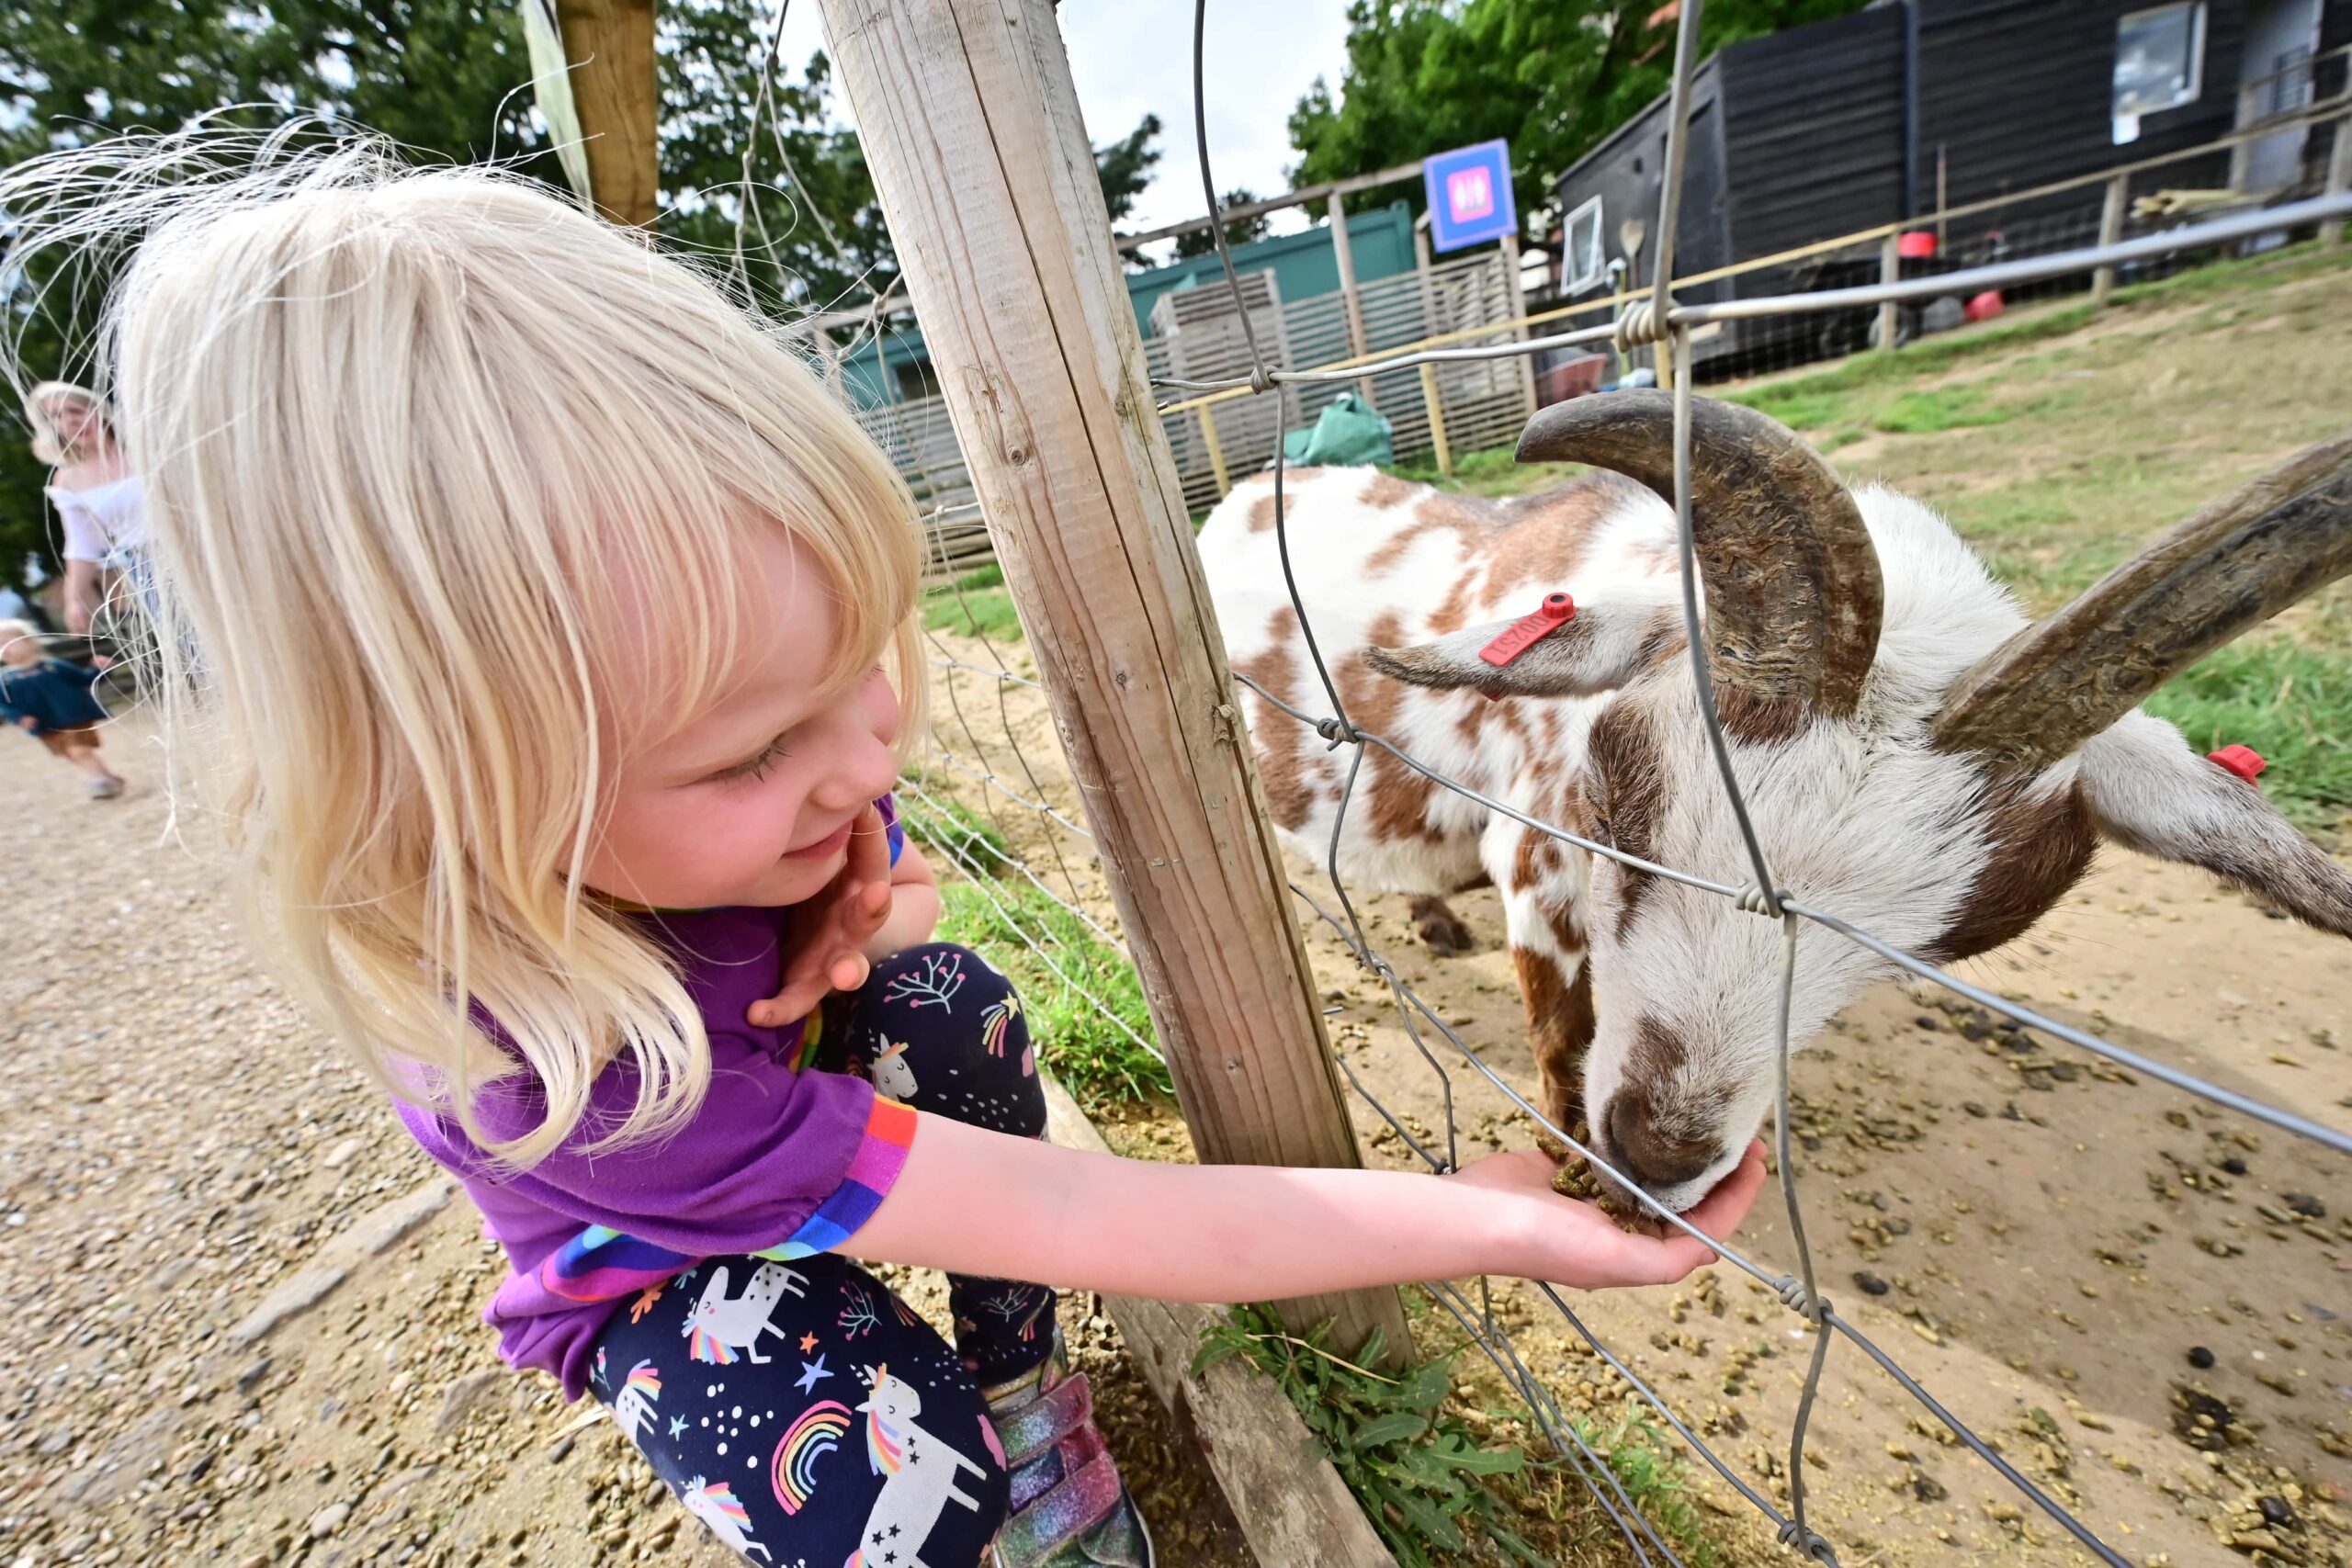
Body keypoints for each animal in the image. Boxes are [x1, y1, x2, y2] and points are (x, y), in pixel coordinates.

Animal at [1204, 392, 2342, 1213]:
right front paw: (1566, 1155)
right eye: (1617, 810)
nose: (1658, 1153)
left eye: (1940, 944)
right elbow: (1559, 1034)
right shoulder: (1537, 866)